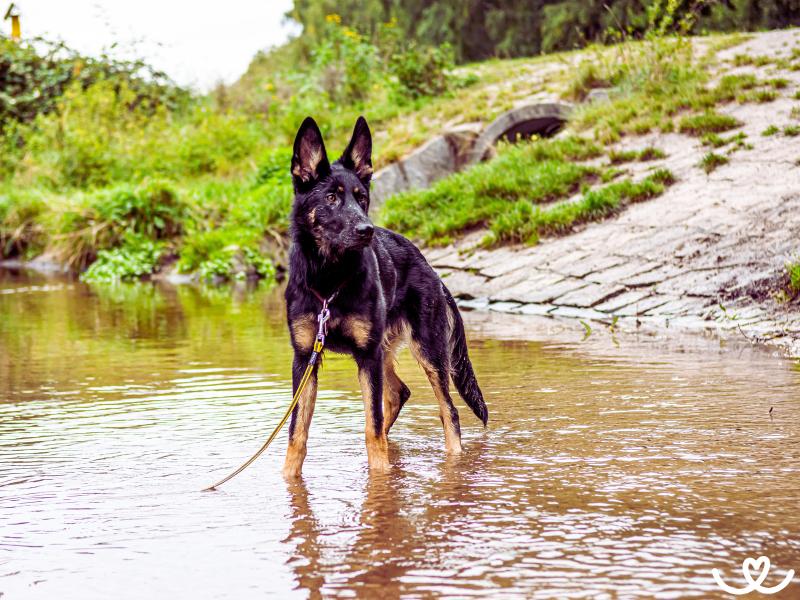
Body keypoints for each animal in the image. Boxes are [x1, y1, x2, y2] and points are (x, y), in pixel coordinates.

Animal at [284, 113, 490, 478]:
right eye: (332, 198)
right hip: (384, 350)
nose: (366, 230)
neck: (329, 283)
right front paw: (288, 480)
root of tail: (431, 269)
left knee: (448, 411)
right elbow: (298, 433)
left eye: (362, 198)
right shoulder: (306, 358)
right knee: (399, 394)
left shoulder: (367, 357)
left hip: (427, 352)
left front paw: (380, 481)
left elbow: (372, 427)